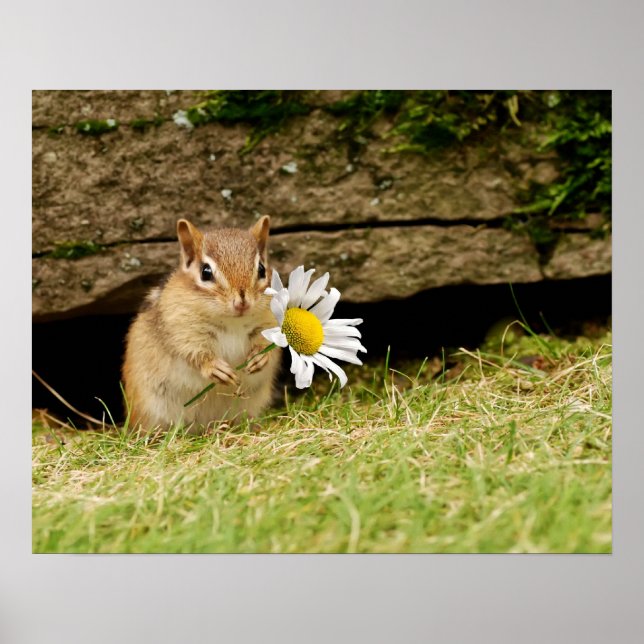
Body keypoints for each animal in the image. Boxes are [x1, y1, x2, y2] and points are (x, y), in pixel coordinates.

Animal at [122, 215, 282, 431]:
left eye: (262, 270)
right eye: (206, 272)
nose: (242, 302)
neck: (233, 322)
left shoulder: (268, 321)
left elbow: (268, 344)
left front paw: (259, 358)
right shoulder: (182, 329)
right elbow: (194, 353)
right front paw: (215, 368)